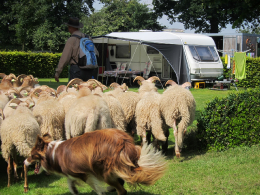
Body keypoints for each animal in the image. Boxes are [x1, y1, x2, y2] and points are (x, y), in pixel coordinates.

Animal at [23, 129, 167, 194]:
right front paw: (75, 191)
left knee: (122, 190)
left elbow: (94, 187)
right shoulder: (72, 175)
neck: (52, 153)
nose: (24, 162)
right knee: (121, 182)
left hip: (104, 171)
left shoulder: (84, 174)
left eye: (31, 155)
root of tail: (124, 142)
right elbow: (71, 185)